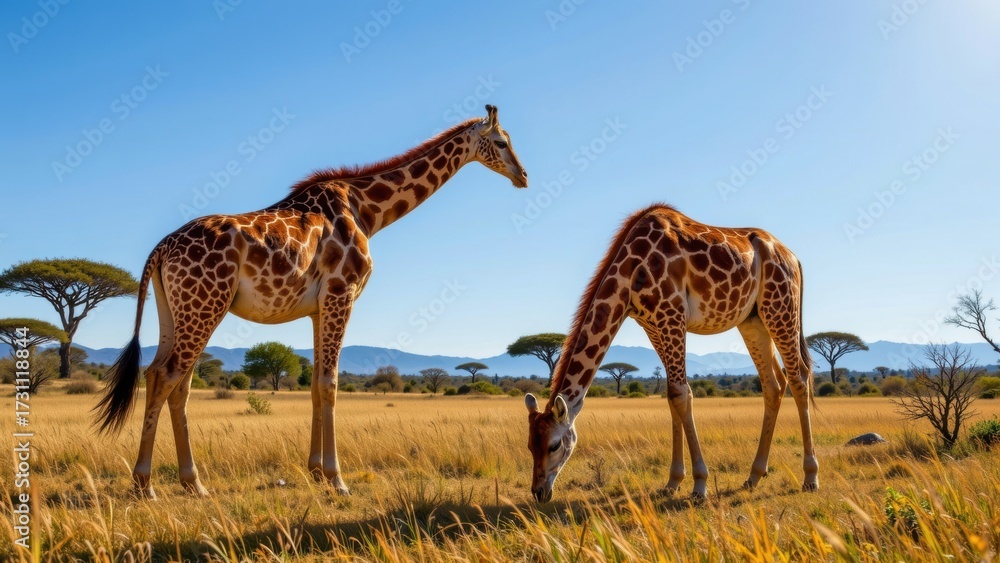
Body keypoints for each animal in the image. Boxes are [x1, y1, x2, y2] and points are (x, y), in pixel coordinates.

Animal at [95, 105, 528, 499]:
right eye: (501, 142)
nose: (523, 176)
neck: (368, 211)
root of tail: (160, 249)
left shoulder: (319, 307)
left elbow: (318, 383)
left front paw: (316, 472)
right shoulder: (342, 292)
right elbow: (329, 382)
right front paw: (338, 479)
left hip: (175, 309)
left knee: (165, 378)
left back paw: (192, 483)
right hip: (206, 304)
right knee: (169, 376)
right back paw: (146, 483)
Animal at [524, 203, 817, 501]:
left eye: (554, 445)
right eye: (529, 446)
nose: (539, 492)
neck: (629, 273)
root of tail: (794, 258)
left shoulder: (672, 313)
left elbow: (680, 393)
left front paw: (699, 485)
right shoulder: (651, 324)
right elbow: (671, 395)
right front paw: (673, 482)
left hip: (780, 305)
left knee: (799, 378)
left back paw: (810, 476)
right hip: (753, 319)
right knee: (773, 383)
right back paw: (754, 476)